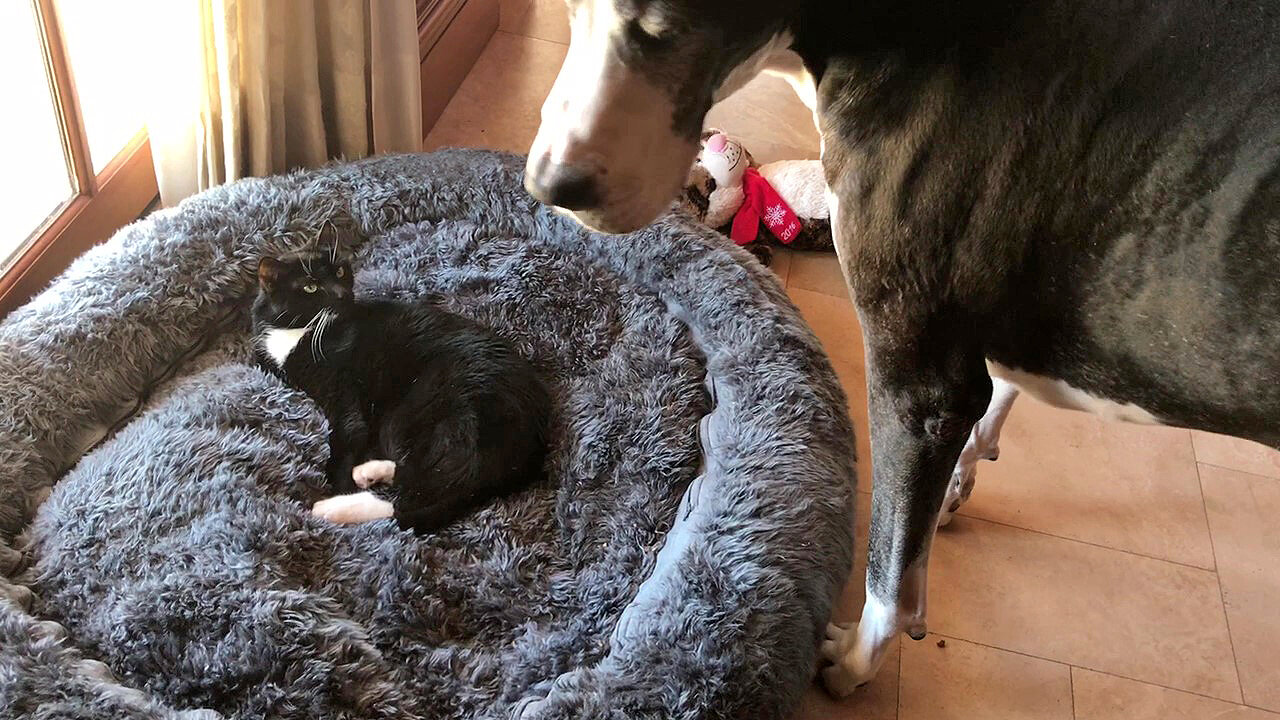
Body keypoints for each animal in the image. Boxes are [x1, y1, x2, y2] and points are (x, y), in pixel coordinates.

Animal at [250, 245, 550, 532]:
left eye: (339, 272)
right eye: (310, 286)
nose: (342, 294)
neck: (297, 333)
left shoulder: (343, 396)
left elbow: (347, 436)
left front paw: (338, 489)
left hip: (417, 412)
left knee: (415, 496)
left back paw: (335, 508)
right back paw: (369, 472)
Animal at [522, 0, 1280, 696]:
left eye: (664, 25)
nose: (549, 186)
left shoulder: (918, 387)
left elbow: (890, 566)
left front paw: (859, 661)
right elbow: (986, 414)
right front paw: (957, 483)